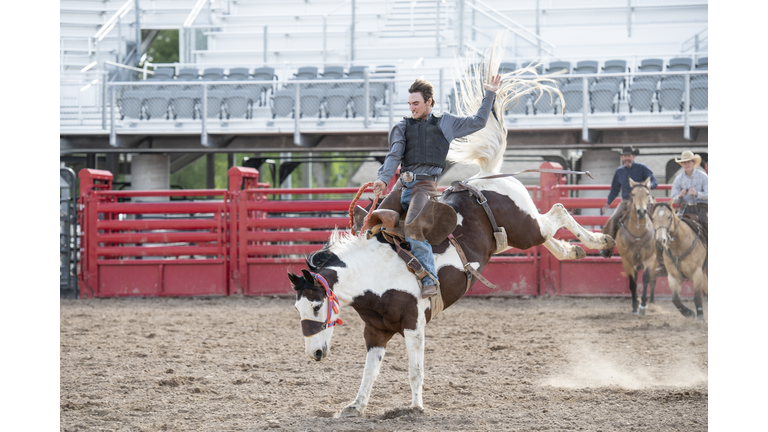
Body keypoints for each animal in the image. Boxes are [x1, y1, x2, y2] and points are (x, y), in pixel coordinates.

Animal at [616, 177, 656, 316]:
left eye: (647, 194)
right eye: (633, 195)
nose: (641, 211)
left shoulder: (650, 258)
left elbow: (646, 278)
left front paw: (643, 305)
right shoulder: (626, 261)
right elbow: (632, 283)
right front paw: (635, 305)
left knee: (653, 280)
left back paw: (652, 303)